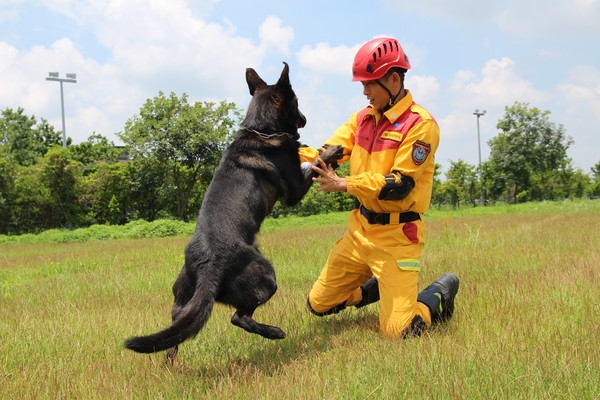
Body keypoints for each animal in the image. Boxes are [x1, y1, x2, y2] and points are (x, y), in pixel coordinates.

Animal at [123, 63, 342, 360]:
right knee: (239, 317)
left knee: (175, 336)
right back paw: (274, 332)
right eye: (296, 102)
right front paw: (331, 151)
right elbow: (316, 163)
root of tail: (208, 264)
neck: (262, 130)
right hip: (265, 277)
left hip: (182, 302)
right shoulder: (294, 191)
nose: (305, 119)